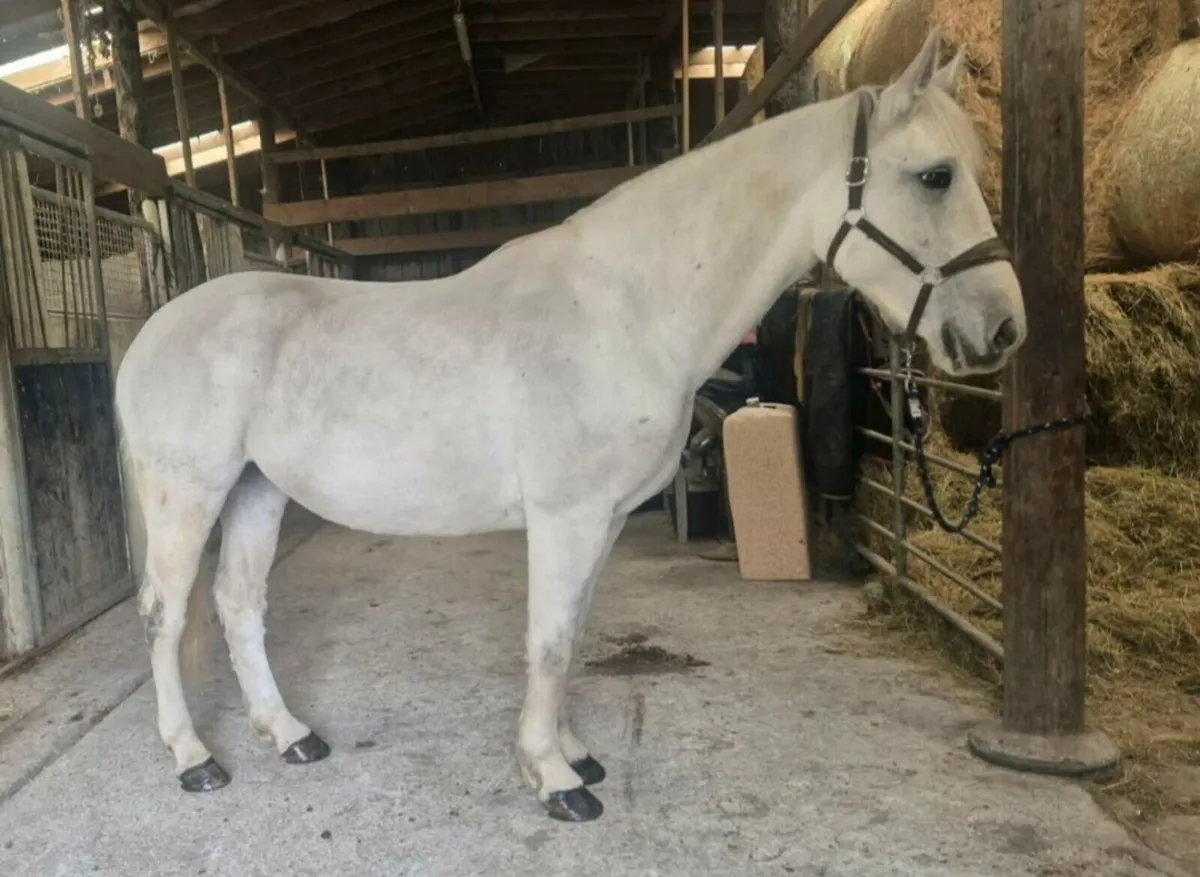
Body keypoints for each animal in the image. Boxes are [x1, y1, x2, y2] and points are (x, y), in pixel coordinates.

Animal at [113, 28, 1026, 823]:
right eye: (936, 175)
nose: (1004, 331)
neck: (626, 306)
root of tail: (151, 335)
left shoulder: (607, 519)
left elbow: (576, 630)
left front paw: (575, 753)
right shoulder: (567, 515)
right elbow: (549, 639)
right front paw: (553, 779)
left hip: (257, 488)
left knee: (238, 604)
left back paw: (290, 734)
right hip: (191, 494)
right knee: (164, 613)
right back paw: (194, 757)